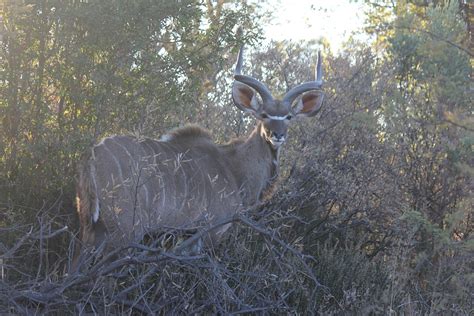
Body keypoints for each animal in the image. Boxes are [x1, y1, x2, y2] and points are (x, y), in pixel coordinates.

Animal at [74, 47, 324, 268]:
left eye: (289, 116)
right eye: (264, 114)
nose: (277, 135)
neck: (233, 167)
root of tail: (92, 157)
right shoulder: (211, 231)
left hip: (91, 229)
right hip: (125, 231)